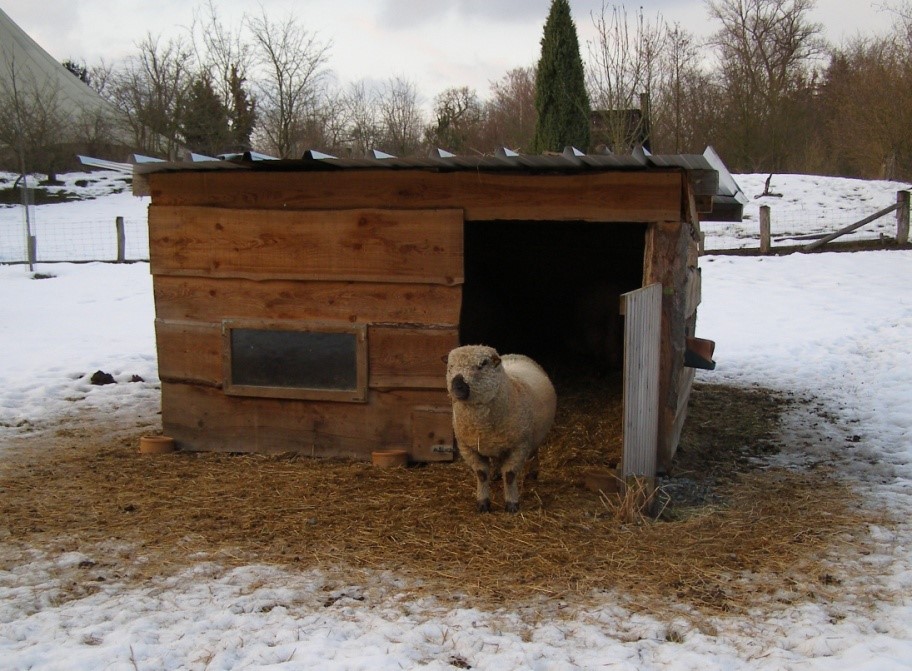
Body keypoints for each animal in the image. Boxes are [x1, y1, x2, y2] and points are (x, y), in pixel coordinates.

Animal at [444, 346, 556, 516]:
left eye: (482, 365)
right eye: (450, 367)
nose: (456, 386)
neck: (481, 426)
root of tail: (515, 354)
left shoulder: (519, 446)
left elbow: (509, 475)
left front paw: (512, 504)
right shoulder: (468, 448)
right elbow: (481, 475)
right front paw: (483, 503)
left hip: (534, 436)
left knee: (534, 453)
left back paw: (533, 473)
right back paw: (496, 473)